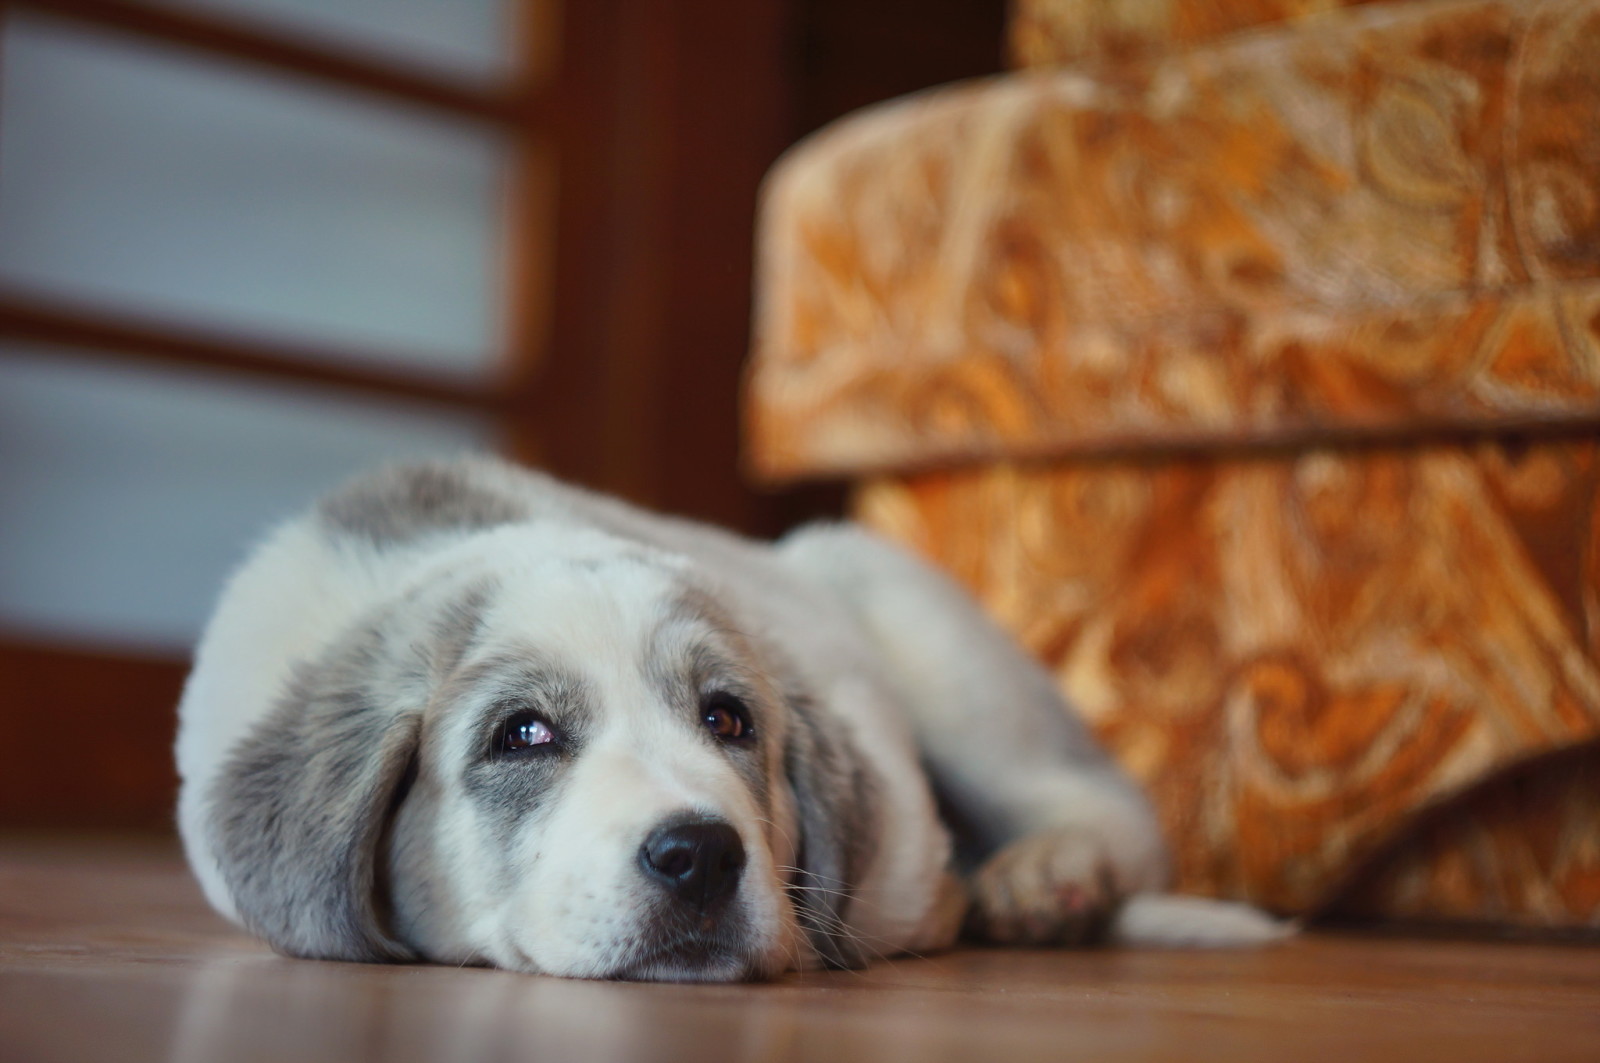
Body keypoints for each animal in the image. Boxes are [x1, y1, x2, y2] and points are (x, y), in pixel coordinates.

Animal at [175, 457, 1286, 979]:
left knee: (1113, 811)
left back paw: (1045, 878)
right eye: (522, 734)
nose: (700, 856)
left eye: (729, 719)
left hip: (933, 643)